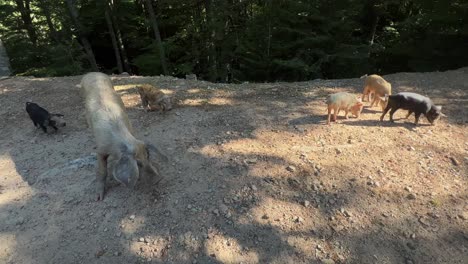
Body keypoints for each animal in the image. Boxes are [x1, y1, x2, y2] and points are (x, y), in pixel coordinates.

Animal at [79, 72, 163, 200]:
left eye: (148, 156)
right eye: (137, 163)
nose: (158, 179)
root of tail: (93, 73)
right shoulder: (101, 150)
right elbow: (102, 171)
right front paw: (99, 198)